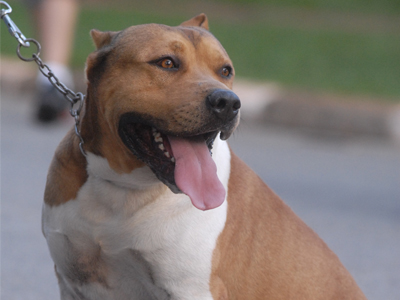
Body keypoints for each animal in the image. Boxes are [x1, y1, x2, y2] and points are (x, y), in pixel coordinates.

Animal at [42, 14, 368, 300]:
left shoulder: (190, 289)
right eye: (166, 63)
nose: (228, 102)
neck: (124, 188)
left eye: (225, 71)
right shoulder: (72, 280)